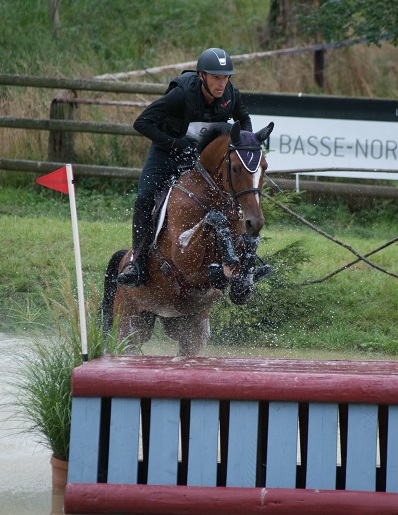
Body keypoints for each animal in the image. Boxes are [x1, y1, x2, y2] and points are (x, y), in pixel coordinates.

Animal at [102, 120, 274, 356]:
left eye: (265, 167)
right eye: (236, 168)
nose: (254, 222)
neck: (209, 195)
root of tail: (124, 260)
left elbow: (244, 253)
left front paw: (240, 280)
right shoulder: (184, 257)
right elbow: (213, 219)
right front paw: (224, 263)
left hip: (190, 327)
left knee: (186, 350)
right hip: (130, 322)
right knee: (128, 345)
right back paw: (132, 272)